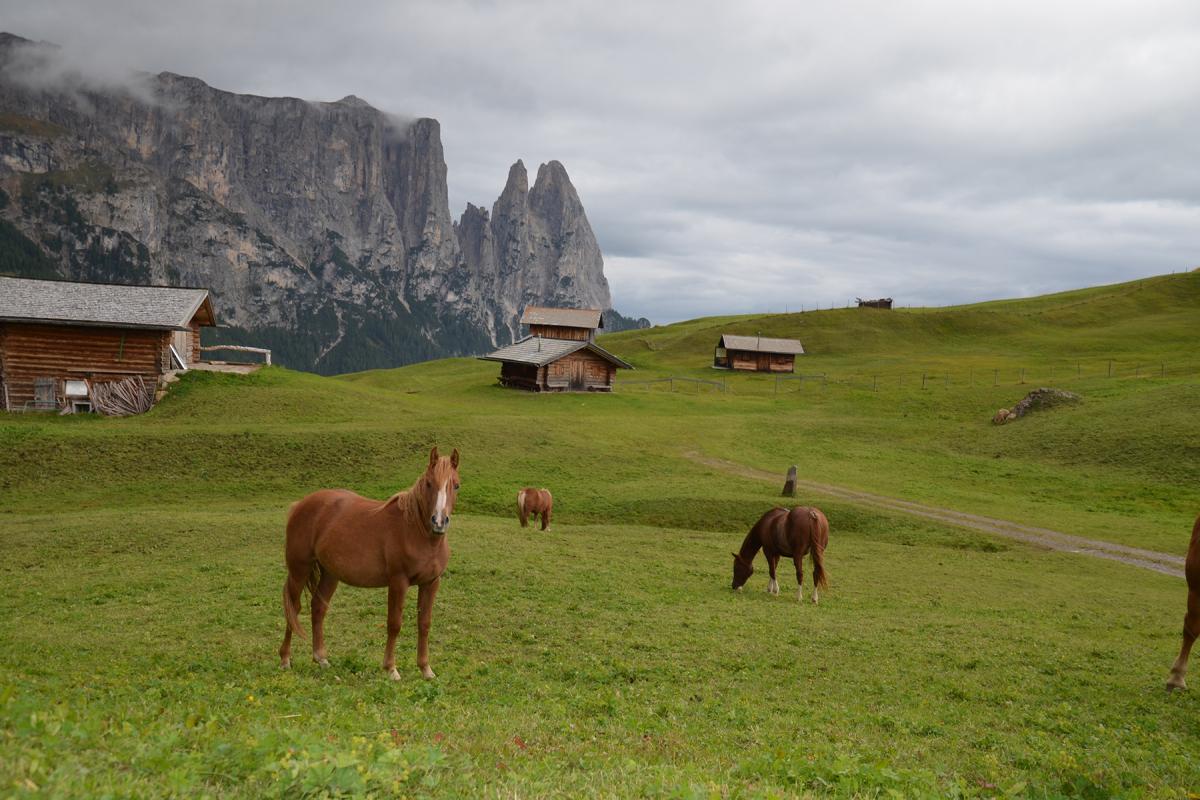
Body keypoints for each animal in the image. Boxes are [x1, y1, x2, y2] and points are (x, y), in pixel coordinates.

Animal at [280, 448, 463, 681]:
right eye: (430, 483)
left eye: (456, 485)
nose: (439, 522)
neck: (416, 532)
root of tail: (300, 505)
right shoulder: (398, 582)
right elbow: (394, 624)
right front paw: (391, 668)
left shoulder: (431, 583)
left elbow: (424, 624)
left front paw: (425, 669)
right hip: (299, 569)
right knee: (293, 609)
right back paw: (285, 659)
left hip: (330, 574)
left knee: (318, 608)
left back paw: (321, 659)